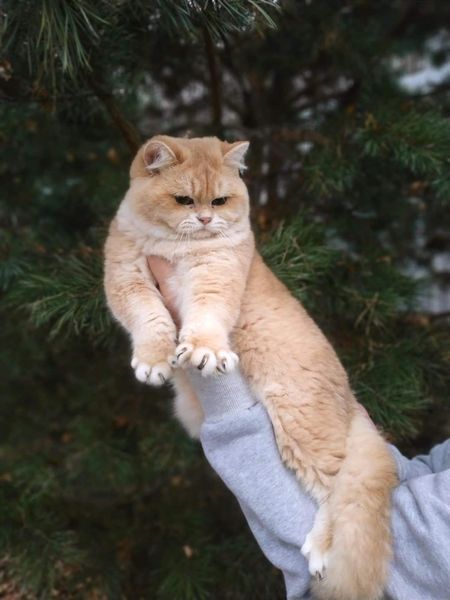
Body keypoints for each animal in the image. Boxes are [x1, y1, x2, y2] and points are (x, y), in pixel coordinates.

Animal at [103, 136, 398, 600]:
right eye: (184, 200)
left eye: (219, 200)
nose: (205, 218)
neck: (177, 248)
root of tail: (352, 404)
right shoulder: (126, 278)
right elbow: (150, 321)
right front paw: (154, 360)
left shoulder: (215, 279)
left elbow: (205, 321)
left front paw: (204, 352)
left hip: (300, 426)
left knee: (336, 491)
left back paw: (320, 550)